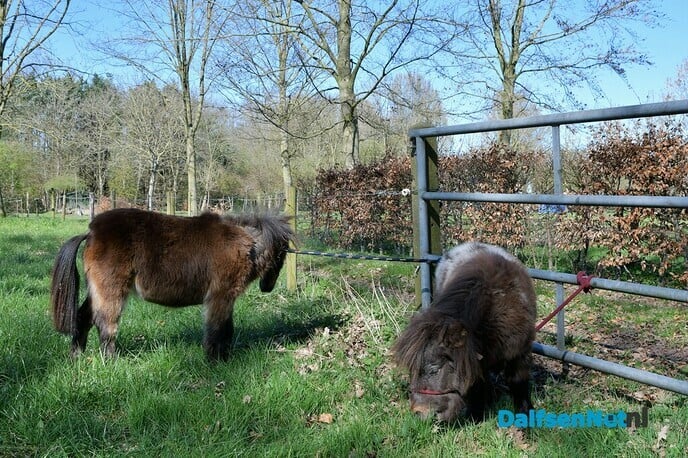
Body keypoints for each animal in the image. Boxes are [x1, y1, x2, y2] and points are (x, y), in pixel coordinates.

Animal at [50, 208, 295, 361]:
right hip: (112, 291)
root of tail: (91, 232)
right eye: (282, 254)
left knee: (83, 318)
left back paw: (77, 356)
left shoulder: (225, 298)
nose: (268, 287)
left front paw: (223, 358)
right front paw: (216, 361)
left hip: (98, 291)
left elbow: (226, 328)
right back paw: (110, 361)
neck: (244, 243)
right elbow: (218, 328)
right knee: (106, 326)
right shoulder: (220, 296)